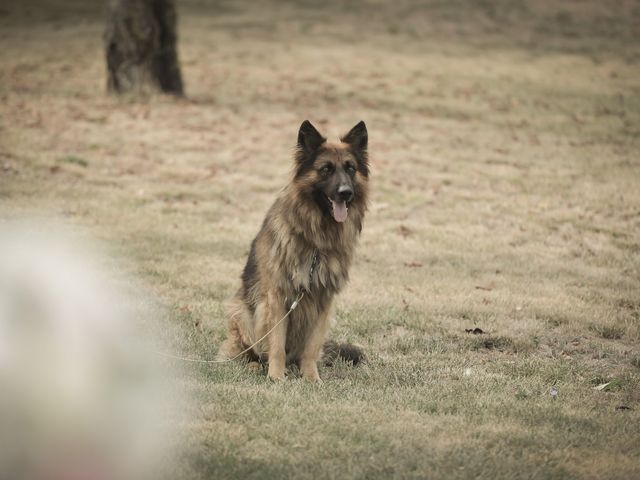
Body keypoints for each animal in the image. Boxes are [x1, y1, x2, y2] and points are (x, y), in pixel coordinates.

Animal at [220, 121, 370, 382]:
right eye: (326, 169)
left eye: (350, 169)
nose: (346, 192)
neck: (317, 240)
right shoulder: (278, 297)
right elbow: (277, 344)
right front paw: (276, 377)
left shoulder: (324, 301)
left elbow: (311, 347)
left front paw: (311, 377)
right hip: (244, 313)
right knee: (248, 351)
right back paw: (256, 365)